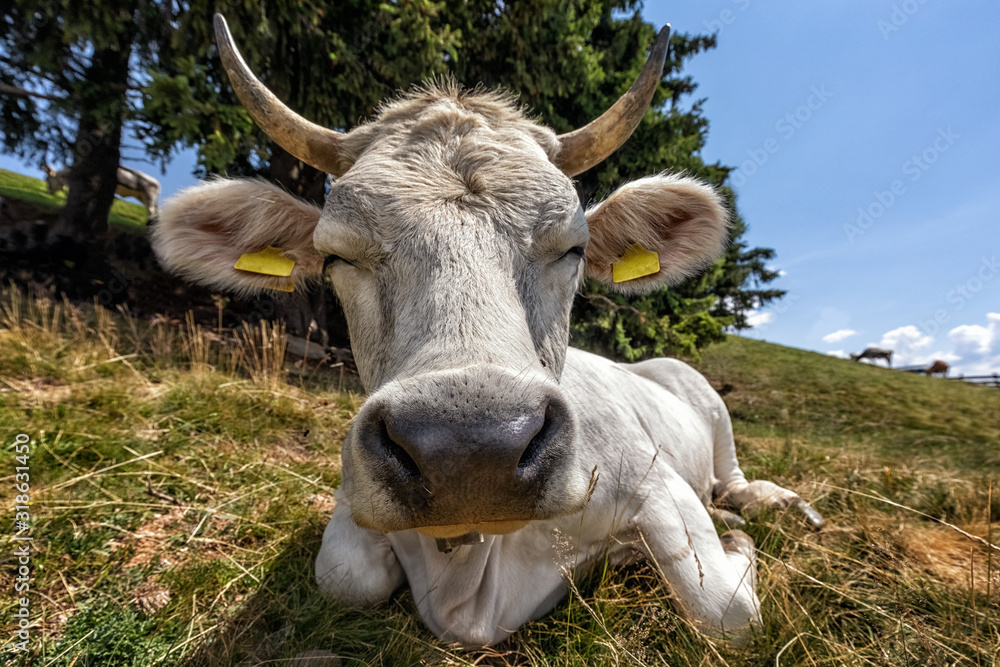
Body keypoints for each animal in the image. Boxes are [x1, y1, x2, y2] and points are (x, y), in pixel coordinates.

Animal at [146, 15, 820, 648]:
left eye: (573, 248)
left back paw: (767, 505)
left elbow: (724, 611)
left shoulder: (658, 483)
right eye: (336, 255)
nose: (470, 452)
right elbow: (344, 575)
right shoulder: (354, 496)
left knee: (732, 480)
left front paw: (734, 546)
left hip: (705, 400)